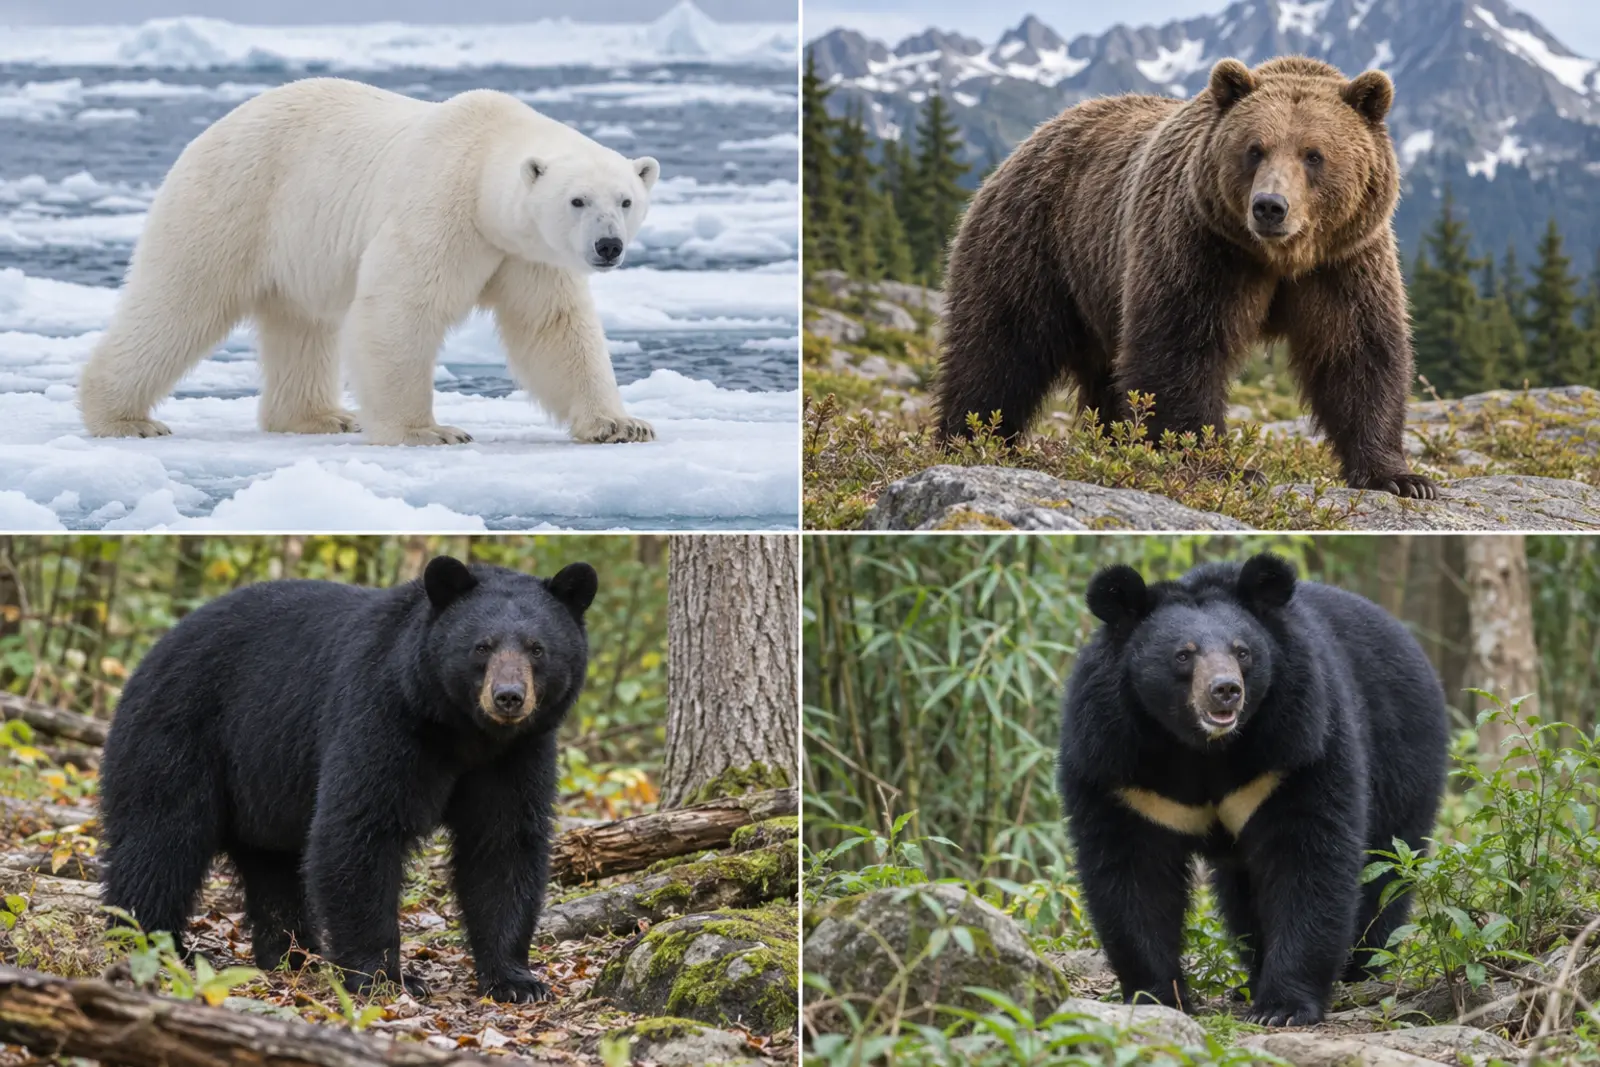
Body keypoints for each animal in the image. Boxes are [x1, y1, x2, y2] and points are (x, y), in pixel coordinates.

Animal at [77, 77, 658, 447]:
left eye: (626, 200)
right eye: (577, 200)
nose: (609, 246)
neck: (482, 162)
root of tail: (213, 128)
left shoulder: (526, 252)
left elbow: (553, 328)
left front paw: (621, 425)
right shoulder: (439, 209)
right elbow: (401, 308)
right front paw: (428, 431)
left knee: (302, 325)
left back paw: (321, 417)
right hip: (234, 202)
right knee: (179, 302)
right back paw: (124, 419)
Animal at [97, 554, 596, 1002]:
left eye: (537, 648)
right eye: (482, 646)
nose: (508, 697)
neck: (463, 731)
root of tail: (154, 651)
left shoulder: (516, 755)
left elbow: (503, 845)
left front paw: (516, 980)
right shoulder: (382, 714)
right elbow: (359, 829)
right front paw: (387, 978)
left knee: (272, 864)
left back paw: (293, 954)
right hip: (181, 734)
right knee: (161, 839)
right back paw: (149, 940)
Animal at [937, 56, 1436, 499]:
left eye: (1314, 155)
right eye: (1254, 149)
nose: (1270, 206)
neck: (1280, 258)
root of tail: (1028, 143)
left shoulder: (1343, 264)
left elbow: (1357, 354)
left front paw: (1401, 477)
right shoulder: (1202, 248)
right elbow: (1180, 349)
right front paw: (1223, 467)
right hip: (1034, 246)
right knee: (999, 350)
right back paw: (968, 439)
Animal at [1056, 553, 1448, 1026]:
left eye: (1242, 651)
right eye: (1183, 655)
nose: (1225, 690)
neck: (1202, 746)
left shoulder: (1295, 746)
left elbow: (1307, 859)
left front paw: (1283, 1008)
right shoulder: (1118, 768)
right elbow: (1133, 876)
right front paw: (1158, 998)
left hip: (1404, 758)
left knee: (1386, 868)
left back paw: (1362, 971)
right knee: (1242, 895)